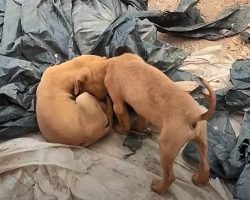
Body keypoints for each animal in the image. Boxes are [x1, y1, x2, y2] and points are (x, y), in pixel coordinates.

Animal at [104, 53, 216, 194]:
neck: (118, 61)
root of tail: (195, 116)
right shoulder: (143, 109)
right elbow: (141, 119)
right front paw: (138, 127)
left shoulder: (118, 103)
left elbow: (124, 121)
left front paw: (120, 129)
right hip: (201, 141)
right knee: (206, 166)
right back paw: (199, 180)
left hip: (166, 147)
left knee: (170, 177)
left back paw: (158, 188)